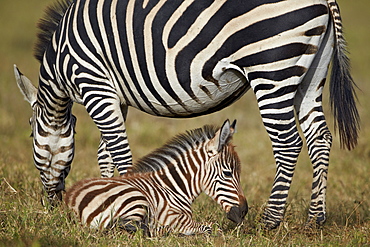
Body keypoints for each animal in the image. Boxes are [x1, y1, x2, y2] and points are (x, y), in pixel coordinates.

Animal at [65, 119, 247, 235]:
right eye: (227, 173)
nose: (244, 211)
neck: (174, 188)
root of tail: (71, 200)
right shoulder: (174, 216)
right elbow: (211, 227)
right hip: (135, 198)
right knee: (120, 227)